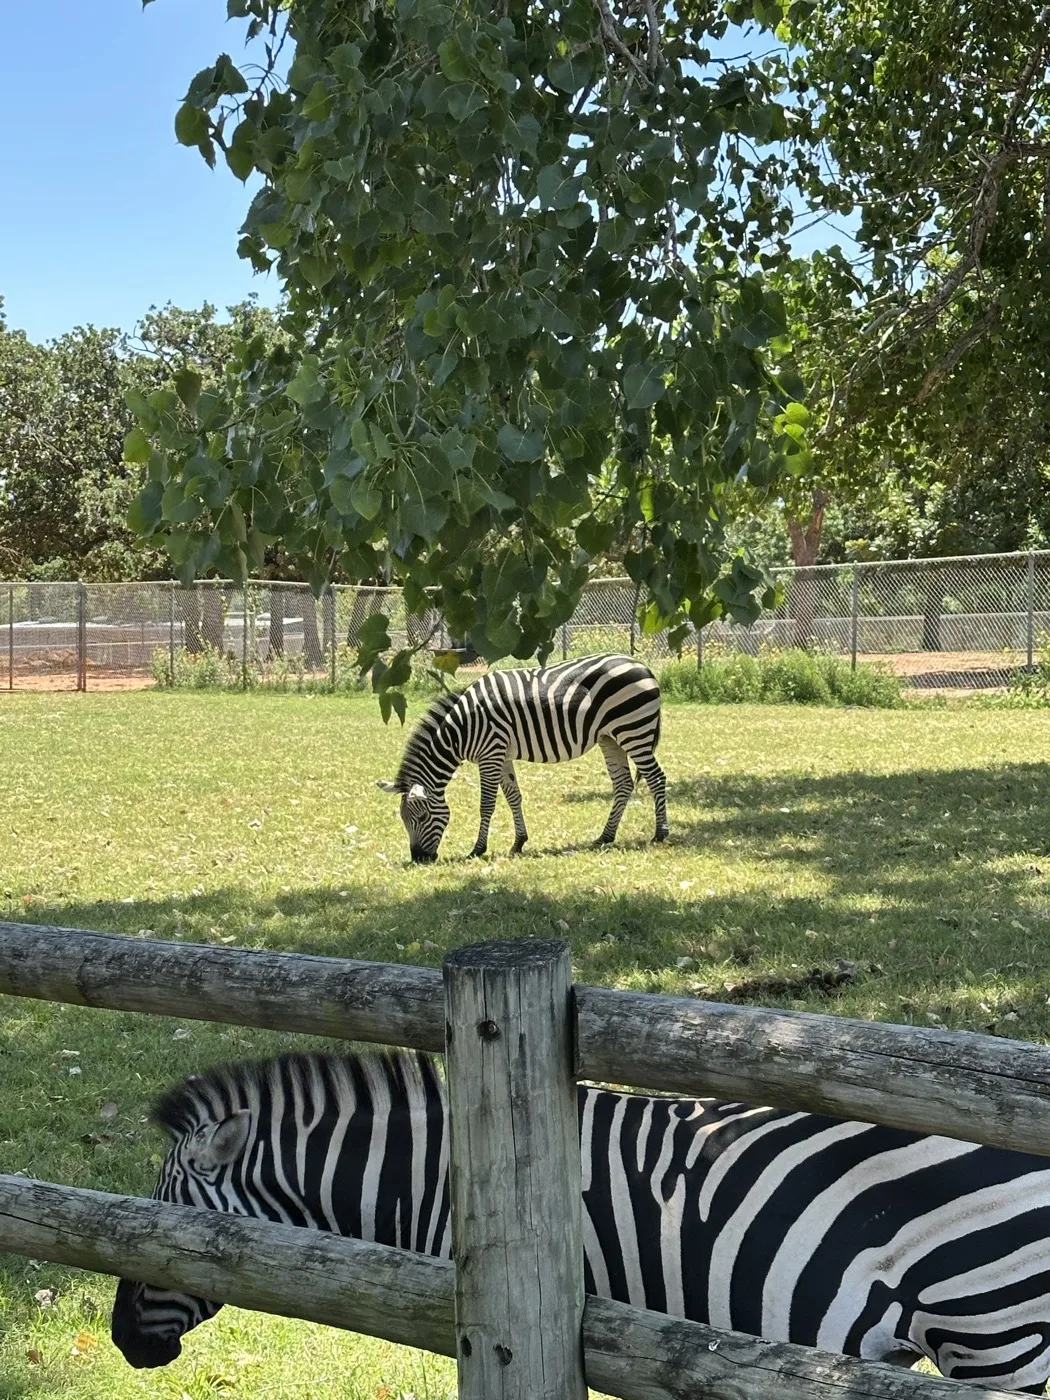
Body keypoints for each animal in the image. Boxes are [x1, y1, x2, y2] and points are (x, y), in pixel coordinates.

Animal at [375, 654, 668, 862]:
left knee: (656, 777)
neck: (461, 730)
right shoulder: (501, 755)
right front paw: (518, 843)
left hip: (634, 730)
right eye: (403, 820)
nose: (419, 859)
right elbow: (514, 797)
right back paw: (605, 837)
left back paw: (660, 834)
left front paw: (478, 849)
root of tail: (643, 666)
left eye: (422, 817)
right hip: (610, 737)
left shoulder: (490, 753)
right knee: (623, 784)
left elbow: (487, 804)